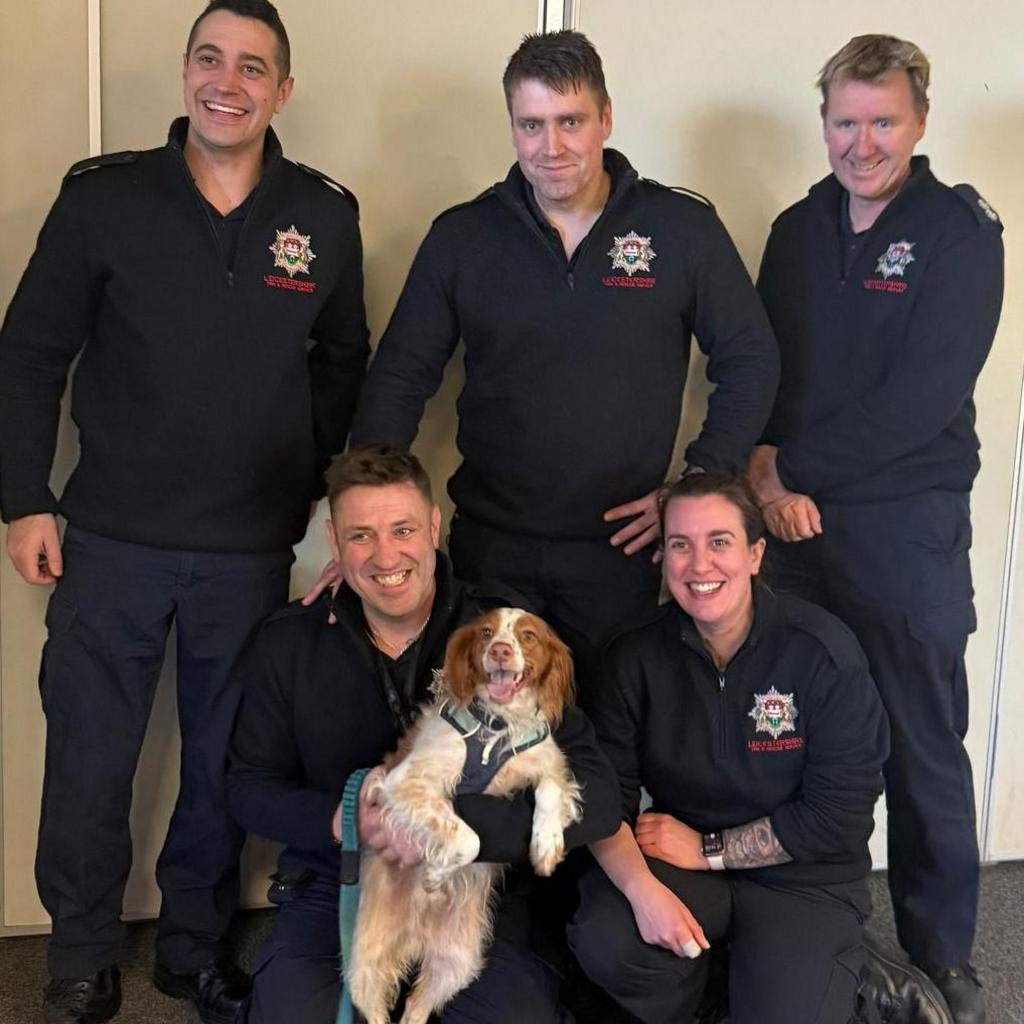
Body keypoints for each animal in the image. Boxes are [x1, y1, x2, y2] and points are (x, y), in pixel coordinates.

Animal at [346, 606, 581, 1024]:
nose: (501, 651)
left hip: (458, 964)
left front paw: (546, 846)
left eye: (528, 636)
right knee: (374, 1006)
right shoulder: (405, 782)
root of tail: (417, 934)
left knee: (415, 1009)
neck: (499, 723)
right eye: (487, 632)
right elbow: (466, 837)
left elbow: (550, 791)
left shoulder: (548, 763)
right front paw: (436, 874)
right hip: (367, 962)